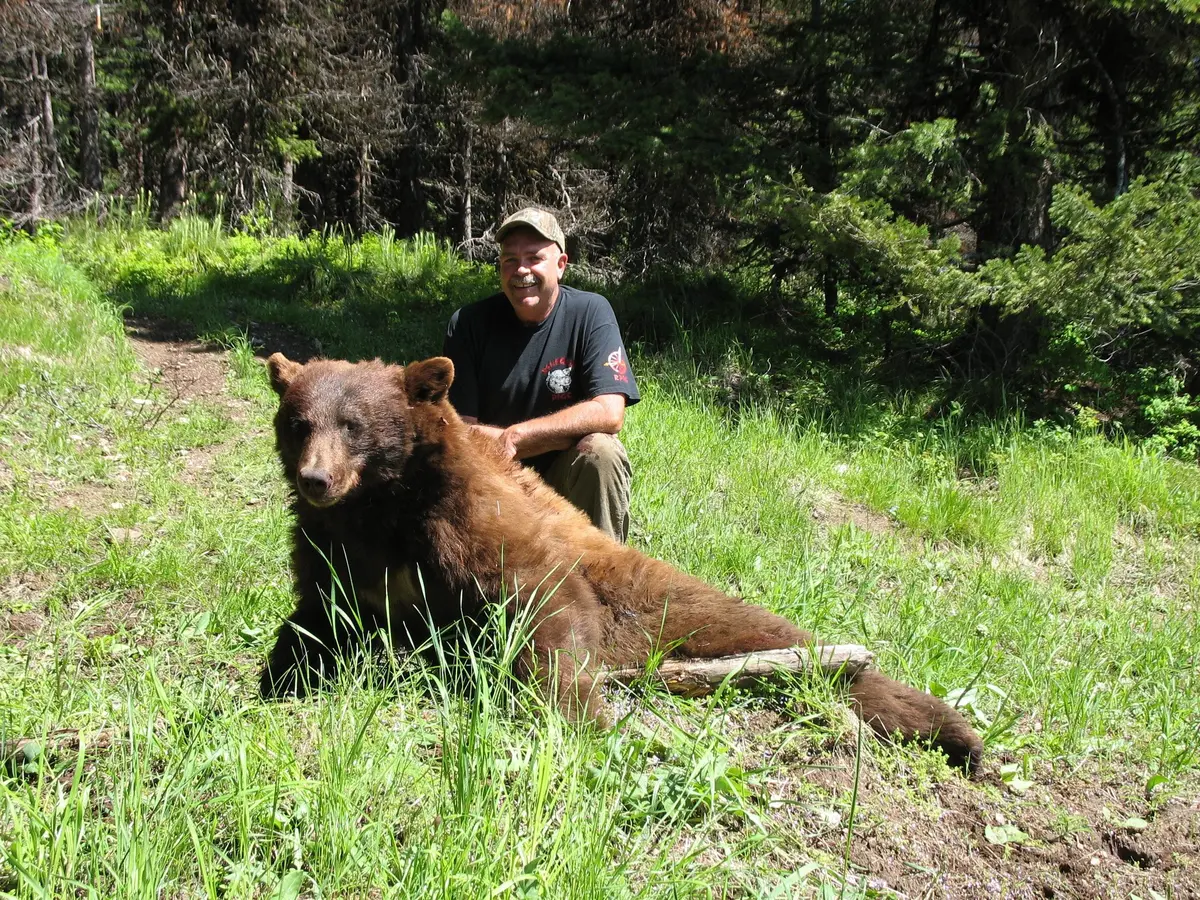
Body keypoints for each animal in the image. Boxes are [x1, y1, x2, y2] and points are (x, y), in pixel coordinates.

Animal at [260, 352, 984, 773]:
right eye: (300, 422)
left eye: (354, 424)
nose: (317, 479)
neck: (386, 510)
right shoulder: (338, 552)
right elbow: (316, 618)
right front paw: (280, 678)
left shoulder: (478, 527)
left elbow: (546, 606)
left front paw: (581, 717)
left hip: (668, 598)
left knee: (798, 645)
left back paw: (955, 732)